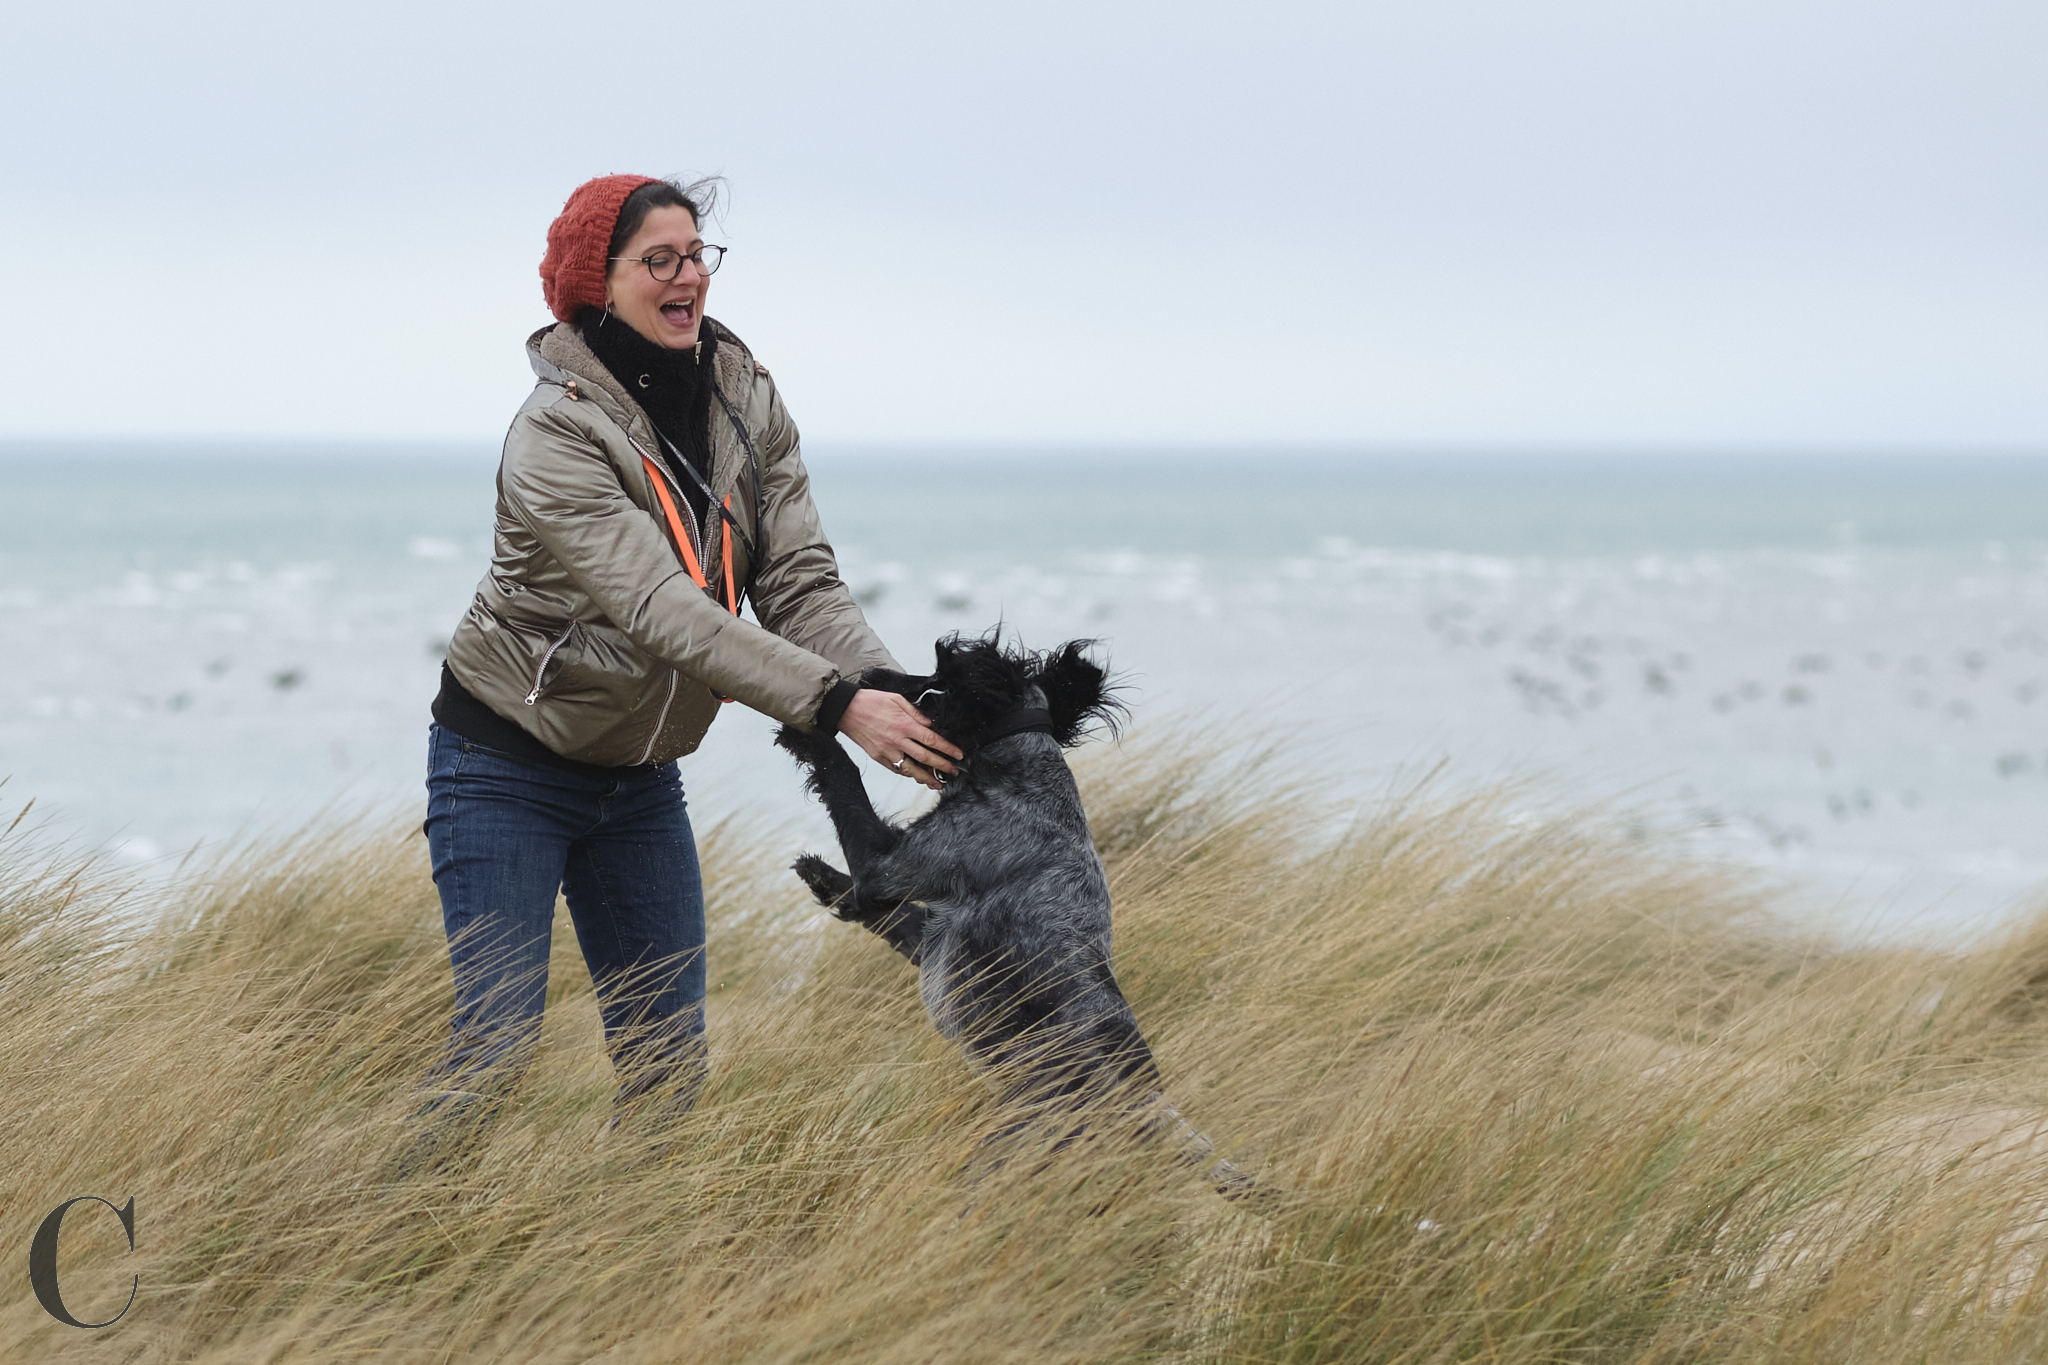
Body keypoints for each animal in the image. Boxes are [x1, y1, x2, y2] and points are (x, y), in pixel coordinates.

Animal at [770, 634, 1253, 1203]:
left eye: (936, 678)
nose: (866, 678)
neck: (1023, 780)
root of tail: (1150, 1114)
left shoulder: (887, 864)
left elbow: (843, 778)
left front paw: (808, 732)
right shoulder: (930, 936)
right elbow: (890, 916)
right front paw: (826, 884)